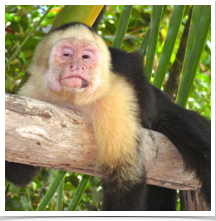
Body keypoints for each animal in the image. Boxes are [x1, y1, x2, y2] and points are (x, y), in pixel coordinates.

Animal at [5, 22, 211, 211]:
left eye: (86, 57)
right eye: (67, 54)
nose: (77, 66)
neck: (73, 99)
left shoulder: (114, 98)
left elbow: (125, 177)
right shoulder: (33, 94)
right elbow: (22, 173)